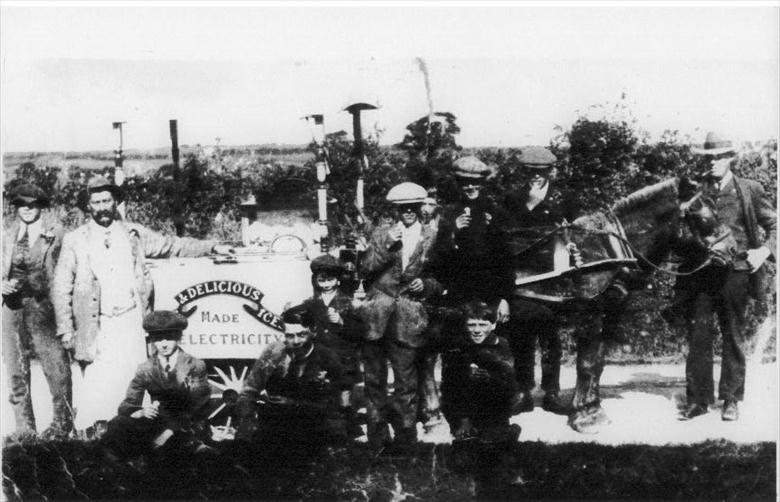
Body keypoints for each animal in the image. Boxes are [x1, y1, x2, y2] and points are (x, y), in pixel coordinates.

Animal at [508, 178, 736, 434]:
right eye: (705, 218)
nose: (734, 249)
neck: (607, 248)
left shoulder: (610, 314)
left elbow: (597, 363)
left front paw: (592, 409)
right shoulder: (590, 314)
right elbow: (586, 364)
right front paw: (584, 417)